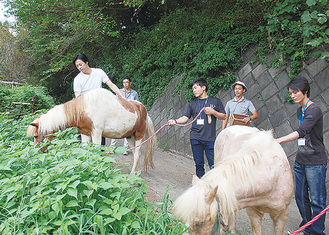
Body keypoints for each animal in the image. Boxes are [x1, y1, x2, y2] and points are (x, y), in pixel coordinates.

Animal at [26, 88, 157, 173]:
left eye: (36, 136)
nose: (37, 153)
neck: (83, 109)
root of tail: (143, 109)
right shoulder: (85, 134)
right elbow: (85, 151)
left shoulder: (96, 134)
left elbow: (96, 152)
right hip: (130, 136)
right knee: (136, 153)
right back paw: (136, 173)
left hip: (139, 135)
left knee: (137, 154)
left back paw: (132, 175)